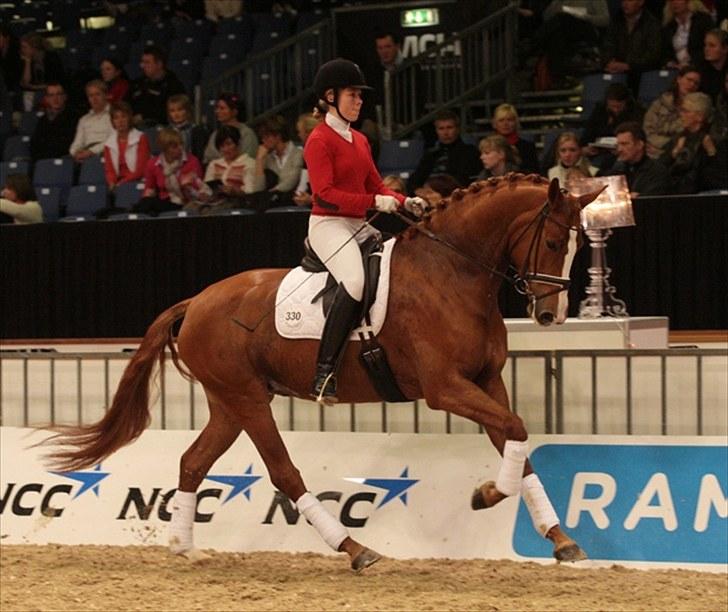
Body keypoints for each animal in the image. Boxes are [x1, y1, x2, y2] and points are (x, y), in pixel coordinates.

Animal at [39, 175, 600, 572]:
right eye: (554, 242)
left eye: (581, 250)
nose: (551, 317)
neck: (452, 273)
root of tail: (196, 302)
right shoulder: (446, 389)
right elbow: (516, 431)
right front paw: (485, 496)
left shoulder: (487, 382)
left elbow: (517, 441)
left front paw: (561, 539)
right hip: (249, 401)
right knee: (284, 472)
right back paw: (355, 548)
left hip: (228, 403)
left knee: (193, 462)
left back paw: (184, 547)